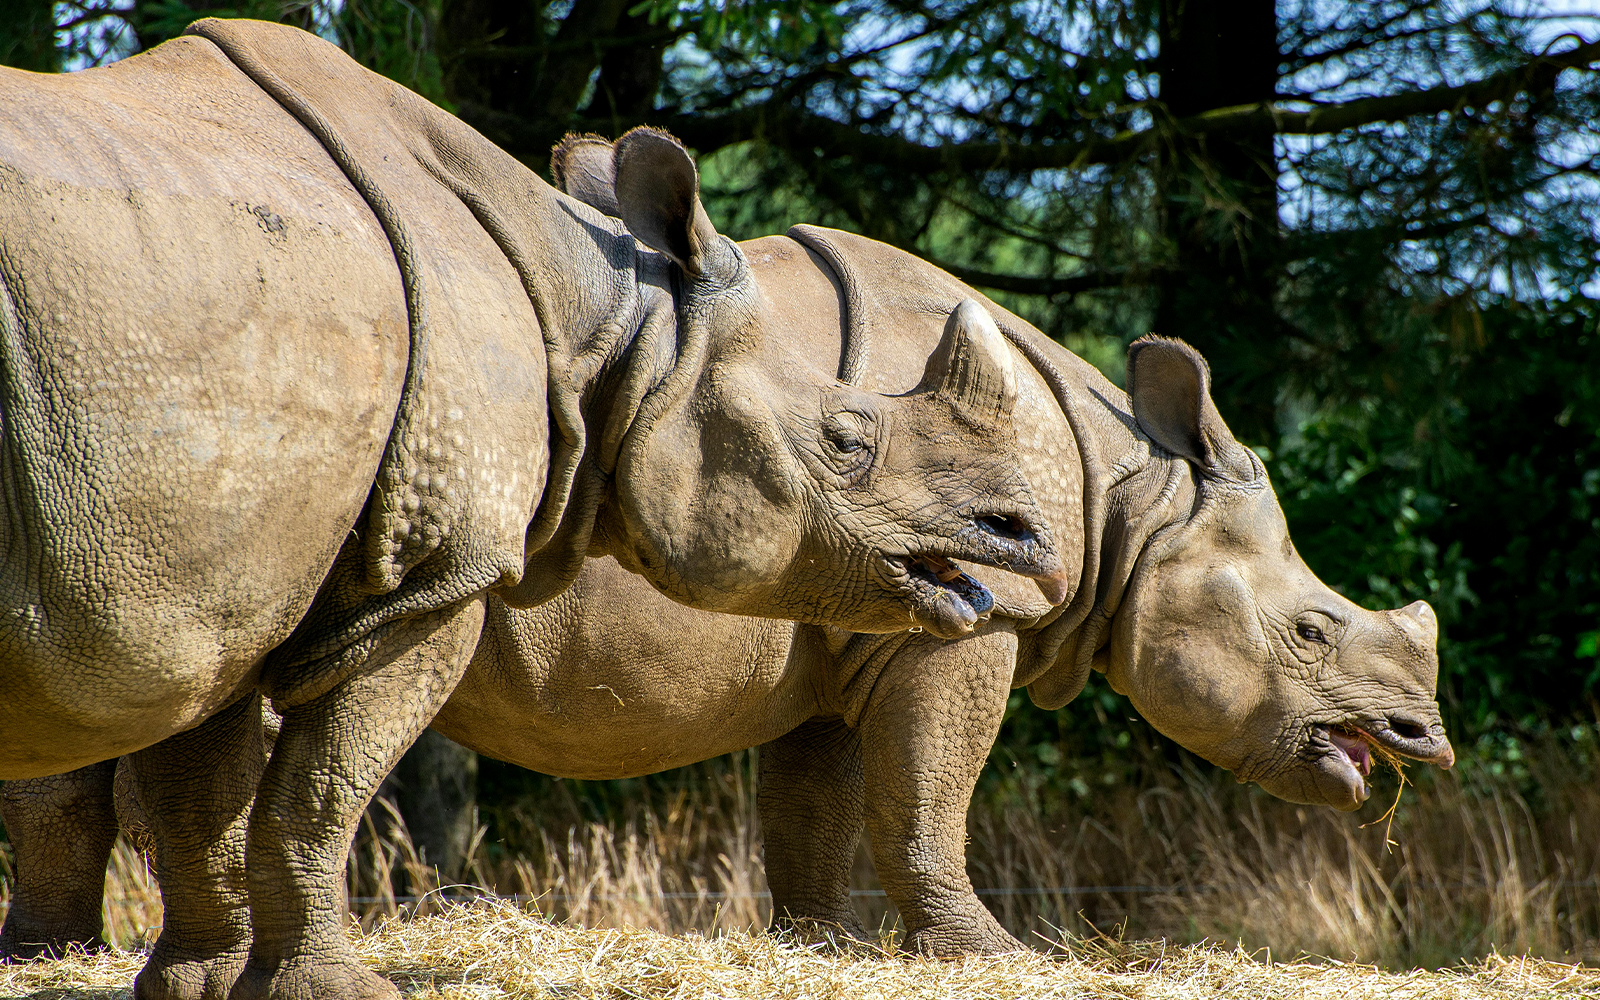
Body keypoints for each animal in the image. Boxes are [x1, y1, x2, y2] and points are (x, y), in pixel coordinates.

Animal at [0, 18, 1072, 1000]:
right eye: (847, 440)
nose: (1020, 539)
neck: (617, 330)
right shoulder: (422, 574)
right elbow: (317, 789)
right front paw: (332, 991)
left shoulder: (232, 568)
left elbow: (206, 794)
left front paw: (199, 984)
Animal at [0, 137, 1456, 978]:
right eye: (1315, 628)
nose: (1422, 739)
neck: (1129, 496)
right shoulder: (969, 614)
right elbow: (929, 801)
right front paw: (990, 951)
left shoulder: (867, 607)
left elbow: (819, 806)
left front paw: (822, 944)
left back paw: (55, 951)